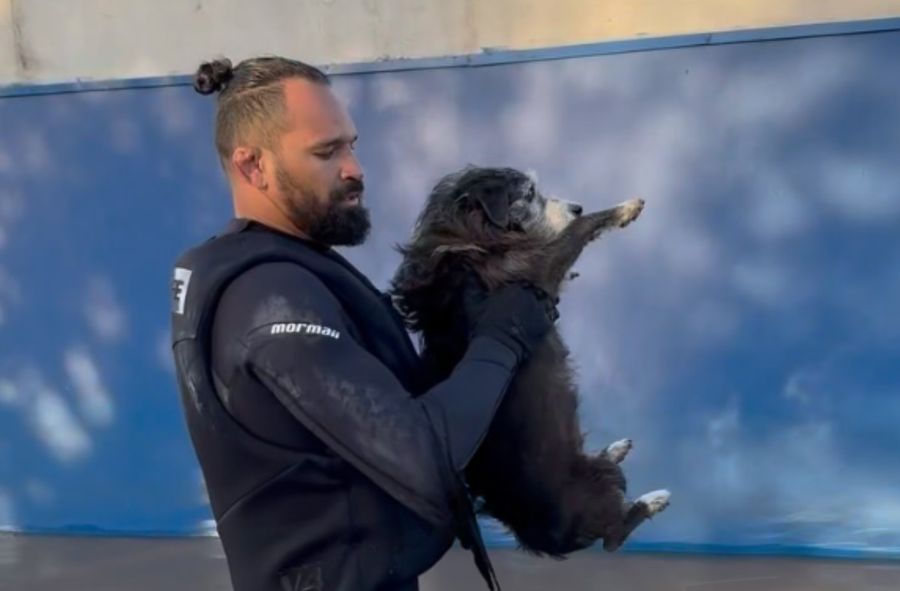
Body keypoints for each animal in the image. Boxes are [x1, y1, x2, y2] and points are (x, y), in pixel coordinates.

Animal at [386, 165, 668, 556]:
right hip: (598, 492)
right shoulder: (537, 264)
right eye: (530, 193)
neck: (470, 233)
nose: (577, 206)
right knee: (614, 536)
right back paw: (651, 501)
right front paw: (625, 208)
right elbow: (579, 231)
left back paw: (614, 449)